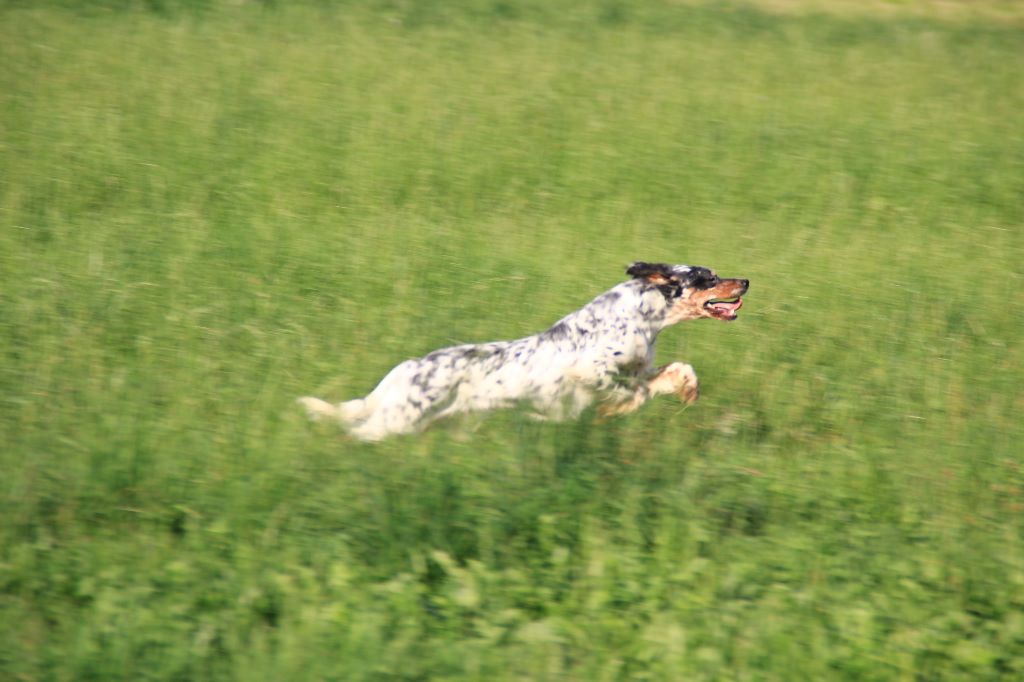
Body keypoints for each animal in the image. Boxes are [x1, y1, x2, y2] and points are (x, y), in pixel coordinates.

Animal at [299, 260, 749, 440]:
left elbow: (674, 371)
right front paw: (612, 409)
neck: (640, 315)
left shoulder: (639, 368)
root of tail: (400, 373)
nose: (745, 281)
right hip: (396, 420)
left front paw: (687, 389)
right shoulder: (590, 370)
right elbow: (628, 392)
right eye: (708, 277)